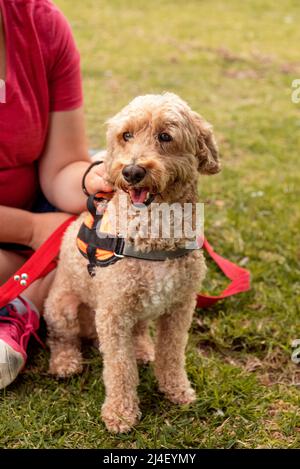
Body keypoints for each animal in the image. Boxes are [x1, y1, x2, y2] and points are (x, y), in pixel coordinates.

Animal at [44, 92, 221, 432]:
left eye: (165, 136)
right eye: (126, 135)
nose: (132, 172)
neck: (155, 234)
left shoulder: (180, 308)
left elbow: (171, 354)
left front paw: (177, 389)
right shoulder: (113, 316)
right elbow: (119, 369)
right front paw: (120, 413)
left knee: (138, 333)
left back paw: (141, 350)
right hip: (63, 308)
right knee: (62, 338)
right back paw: (65, 362)